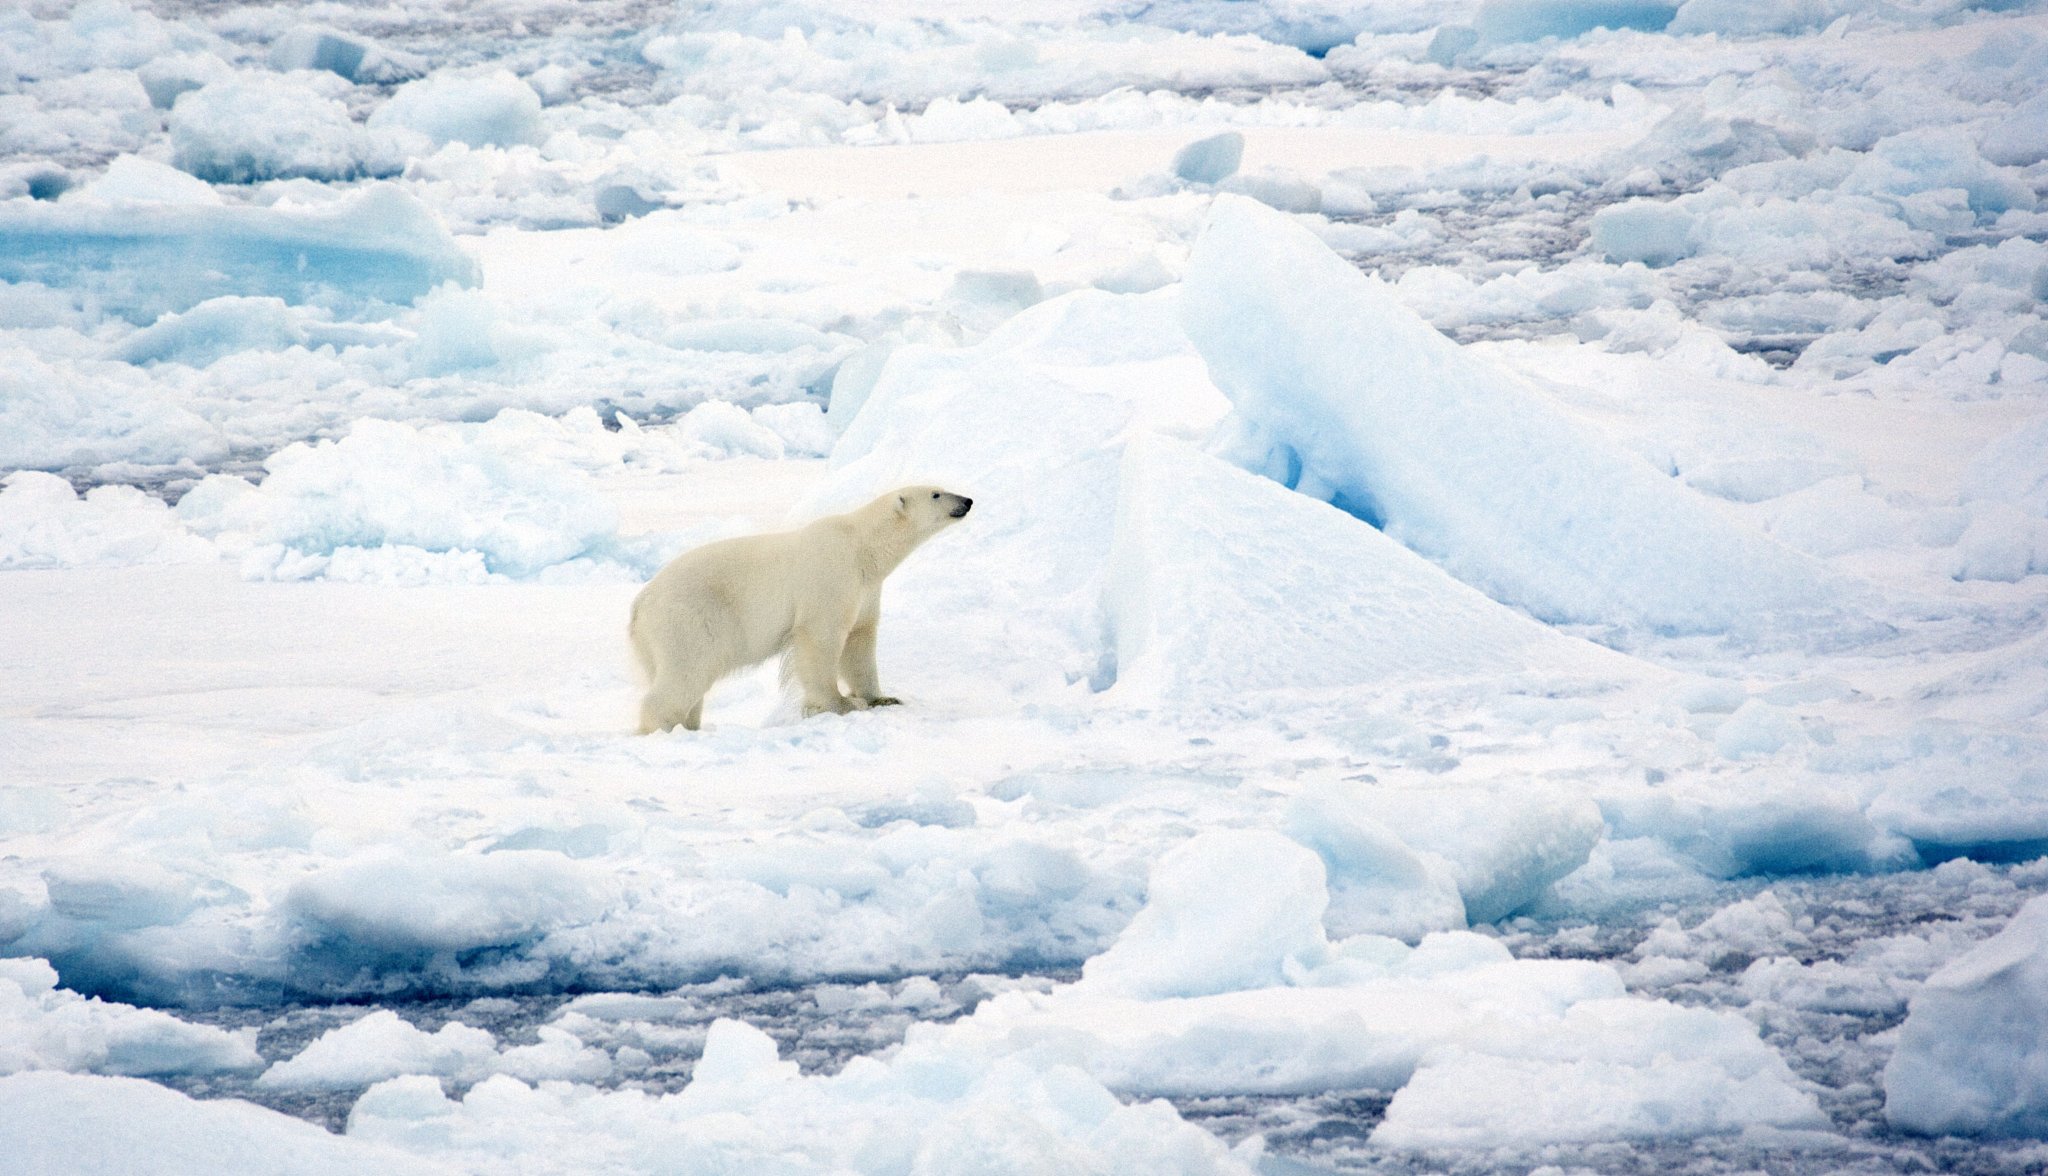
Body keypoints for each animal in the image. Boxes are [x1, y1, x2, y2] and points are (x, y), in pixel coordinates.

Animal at [628, 486, 973, 733]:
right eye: (936, 493)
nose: (968, 500)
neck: (861, 546)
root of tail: (640, 605)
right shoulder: (831, 576)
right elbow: (821, 639)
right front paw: (841, 704)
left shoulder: (865, 589)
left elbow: (859, 640)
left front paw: (882, 698)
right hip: (688, 620)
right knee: (686, 673)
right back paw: (663, 727)